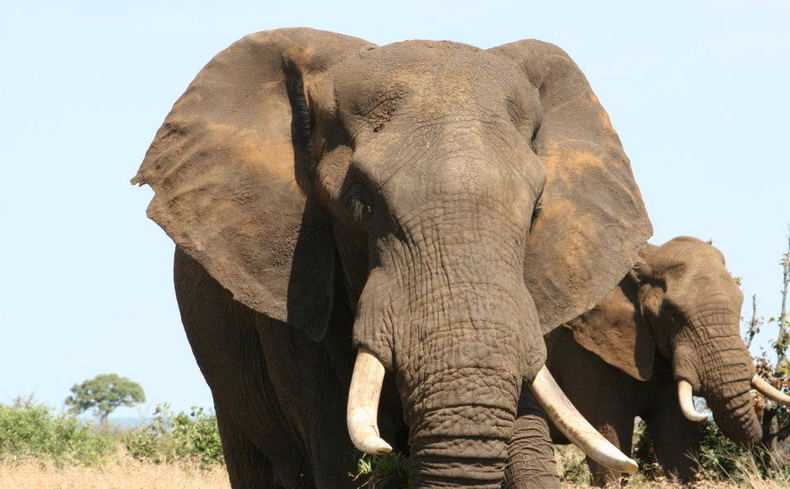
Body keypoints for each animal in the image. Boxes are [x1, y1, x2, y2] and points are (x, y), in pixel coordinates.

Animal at [505, 236, 790, 487]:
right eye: (672, 315)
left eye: (741, 302)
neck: (647, 259)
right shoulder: (583, 351)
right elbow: (609, 431)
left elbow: (677, 438)